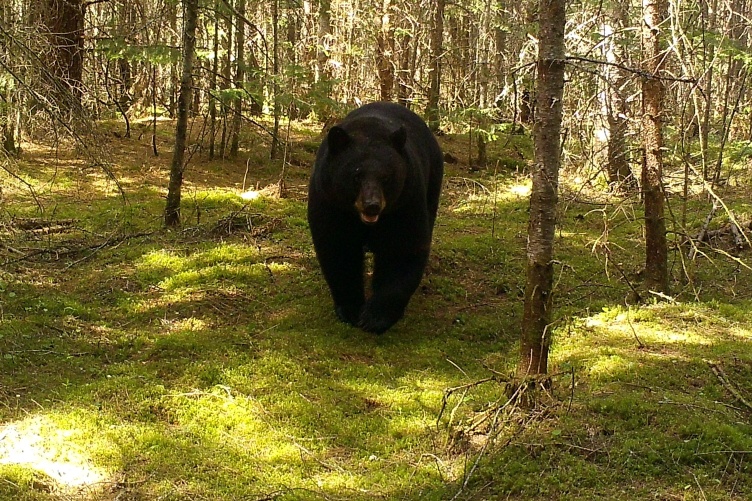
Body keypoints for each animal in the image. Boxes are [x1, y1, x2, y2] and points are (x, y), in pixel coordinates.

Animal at [308, 102, 444, 332]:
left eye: (386, 177)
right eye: (356, 175)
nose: (372, 205)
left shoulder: (404, 201)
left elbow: (402, 248)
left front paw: (376, 316)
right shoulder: (330, 201)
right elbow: (339, 248)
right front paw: (351, 310)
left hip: (433, 180)